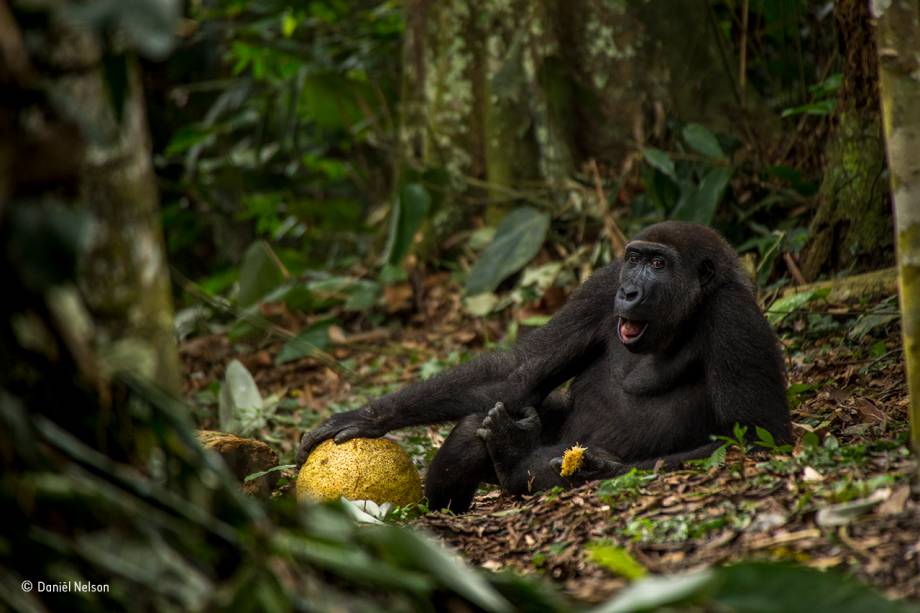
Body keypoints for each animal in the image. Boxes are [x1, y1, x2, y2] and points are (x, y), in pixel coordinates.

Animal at [296, 221, 792, 512]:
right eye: (634, 259)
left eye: (658, 263)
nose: (630, 292)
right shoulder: (601, 285)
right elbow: (519, 371)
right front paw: (369, 416)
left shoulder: (733, 317)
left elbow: (756, 437)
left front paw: (599, 468)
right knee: (482, 417)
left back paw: (515, 460)